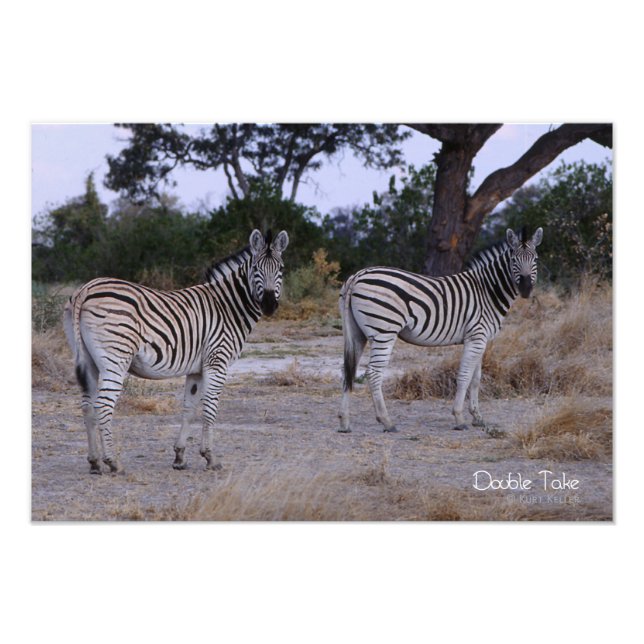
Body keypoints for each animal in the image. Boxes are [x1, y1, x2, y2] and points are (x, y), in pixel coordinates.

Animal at [63, 229, 289, 473]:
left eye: (281, 269)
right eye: (256, 268)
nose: (269, 305)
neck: (228, 307)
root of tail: (86, 288)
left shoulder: (196, 368)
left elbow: (189, 408)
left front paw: (180, 456)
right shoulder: (217, 360)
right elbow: (210, 408)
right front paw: (210, 457)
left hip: (88, 360)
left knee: (87, 406)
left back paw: (94, 461)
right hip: (115, 359)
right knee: (103, 406)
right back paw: (113, 462)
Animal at [338, 227, 543, 433]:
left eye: (535, 259)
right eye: (513, 260)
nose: (526, 289)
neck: (487, 291)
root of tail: (357, 276)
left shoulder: (480, 339)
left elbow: (476, 378)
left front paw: (477, 417)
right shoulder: (476, 337)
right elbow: (464, 377)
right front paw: (459, 418)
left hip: (357, 334)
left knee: (348, 371)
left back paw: (345, 422)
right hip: (384, 331)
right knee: (373, 373)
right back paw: (386, 421)